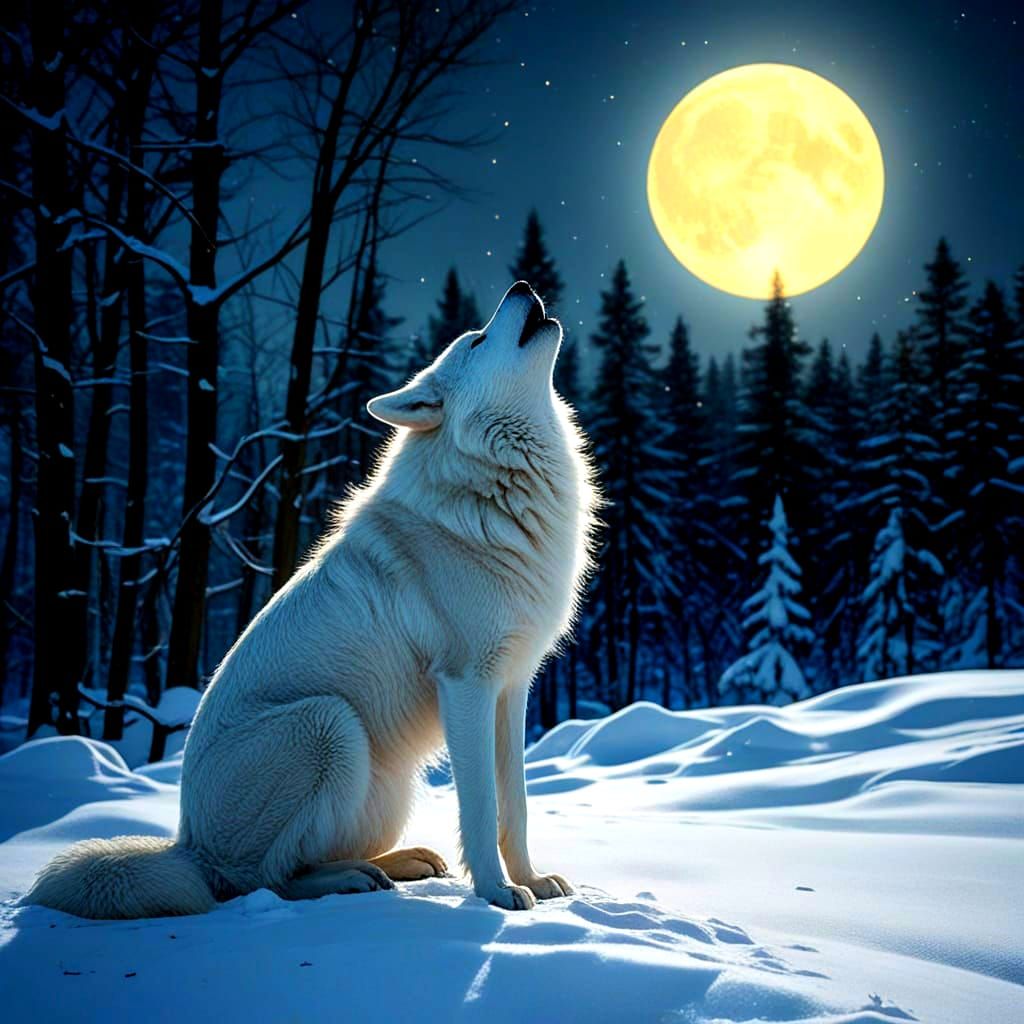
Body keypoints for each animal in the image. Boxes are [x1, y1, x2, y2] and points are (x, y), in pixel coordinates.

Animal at [25, 281, 597, 919]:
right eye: (476, 340)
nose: (520, 286)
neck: (497, 487)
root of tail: (188, 845)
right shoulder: (467, 684)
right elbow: (480, 807)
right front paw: (497, 894)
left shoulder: (513, 688)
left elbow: (515, 806)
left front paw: (534, 881)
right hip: (329, 723)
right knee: (265, 879)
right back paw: (351, 880)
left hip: (388, 783)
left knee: (313, 857)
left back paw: (399, 864)